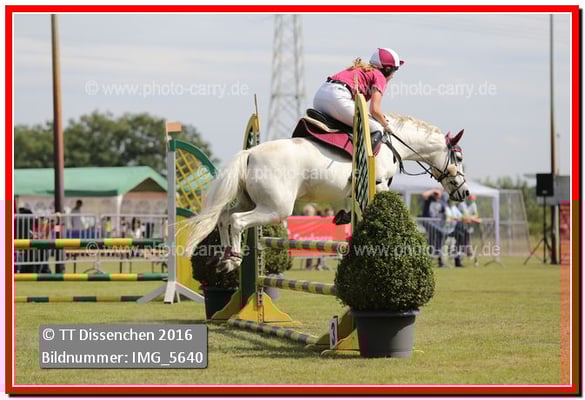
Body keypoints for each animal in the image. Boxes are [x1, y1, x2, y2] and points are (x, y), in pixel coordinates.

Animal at [183, 113, 469, 272]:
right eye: (458, 157)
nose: (464, 192)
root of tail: (250, 153)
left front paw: (344, 219)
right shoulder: (379, 185)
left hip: (249, 200)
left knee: (223, 217)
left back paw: (224, 259)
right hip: (275, 208)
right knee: (236, 221)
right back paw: (233, 260)